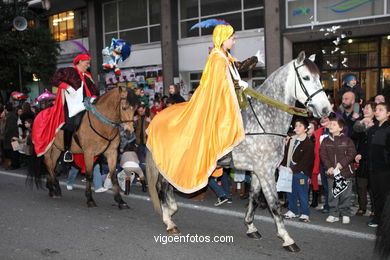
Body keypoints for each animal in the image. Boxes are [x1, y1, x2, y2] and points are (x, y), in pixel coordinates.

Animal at [145, 51, 330, 252]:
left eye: (319, 77)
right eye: (306, 77)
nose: (326, 109)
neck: (264, 120)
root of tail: (156, 118)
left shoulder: (258, 170)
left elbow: (254, 197)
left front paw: (251, 227)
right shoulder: (265, 171)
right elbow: (273, 203)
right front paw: (287, 239)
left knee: (169, 186)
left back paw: (171, 210)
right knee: (162, 187)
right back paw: (169, 221)